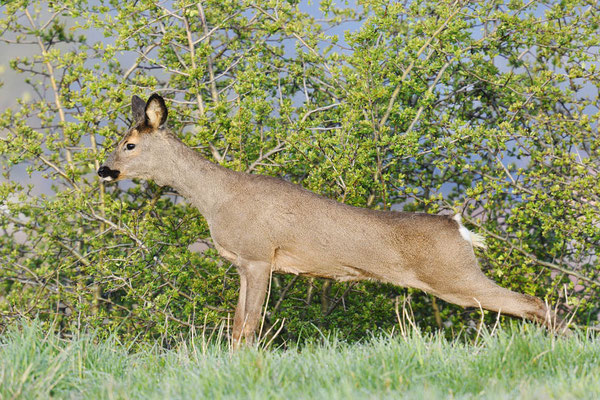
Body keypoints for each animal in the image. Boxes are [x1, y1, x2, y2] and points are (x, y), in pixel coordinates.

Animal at [97, 93, 556, 344]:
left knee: (535, 303)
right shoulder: (244, 264)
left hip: (453, 275)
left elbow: (249, 327)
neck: (216, 198)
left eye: (129, 144)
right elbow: (237, 325)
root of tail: (457, 227)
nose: (104, 170)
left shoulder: (259, 255)